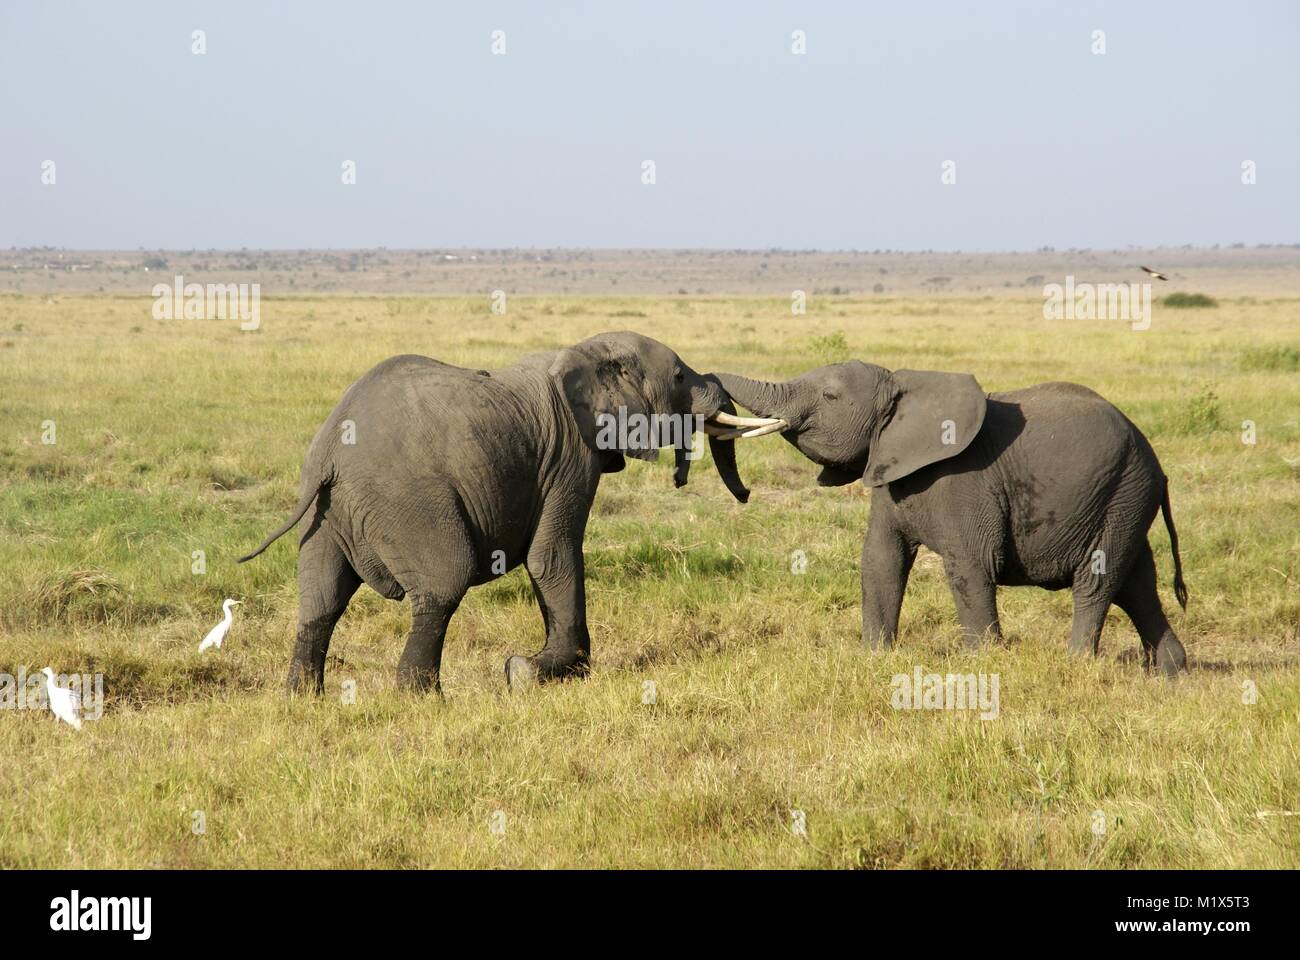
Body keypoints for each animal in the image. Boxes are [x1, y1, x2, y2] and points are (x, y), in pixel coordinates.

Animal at [236, 333, 780, 692]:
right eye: (680, 376)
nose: (747, 496)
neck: (582, 352)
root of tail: (330, 450)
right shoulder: (569, 456)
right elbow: (553, 557)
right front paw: (530, 673)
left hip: (327, 516)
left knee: (321, 599)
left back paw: (303, 699)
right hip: (407, 502)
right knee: (443, 582)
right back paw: (421, 699)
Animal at [712, 361, 1190, 671]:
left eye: (830, 397)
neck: (902, 386)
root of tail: (1155, 461)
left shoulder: (965, 481)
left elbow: (971, 565)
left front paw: (986, 664)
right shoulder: (890, 470)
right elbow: (881, 560)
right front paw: (874, 658)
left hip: (1121, 491)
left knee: (1098, 580)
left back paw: (1076, 665)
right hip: (1123, 498)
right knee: (1138, 585)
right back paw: (1170, 672)